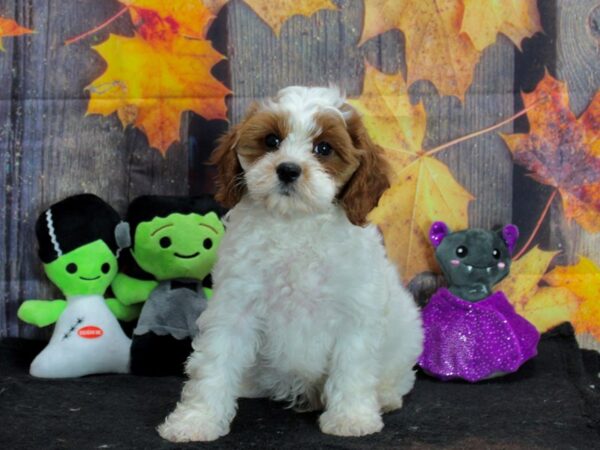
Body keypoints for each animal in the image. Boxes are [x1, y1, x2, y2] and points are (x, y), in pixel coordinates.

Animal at [157, 86, 424, 442]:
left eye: (323, 148)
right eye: (272, 141)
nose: (288, 169)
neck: (295, 223)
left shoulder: (355, 311)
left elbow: (352, 367)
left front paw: (351, 418)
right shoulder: (235, 306)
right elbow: (214, 362)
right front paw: (197, 420)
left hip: (407, 332)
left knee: (399, 376)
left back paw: (385, 396)